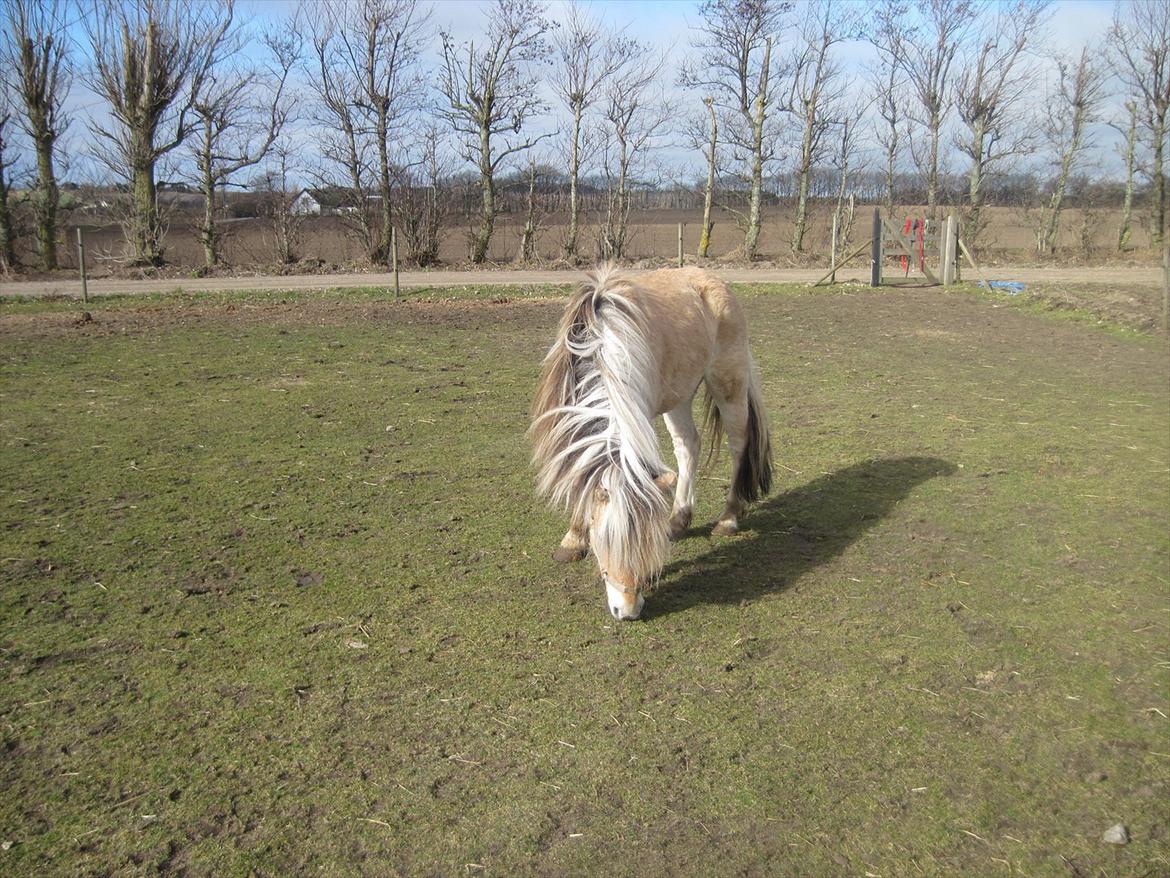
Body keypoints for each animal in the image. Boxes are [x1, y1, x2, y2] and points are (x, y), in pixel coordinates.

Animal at [528, 264, 767, 622]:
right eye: (605, 541)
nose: (627, 611)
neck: (602, 344)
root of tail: (713, 280)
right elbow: (582, 474)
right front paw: (573, 540)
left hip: (728, 380)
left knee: (738, 444)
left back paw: (728, 518)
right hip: (680, 393)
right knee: (687, 445)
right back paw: (679, 519)